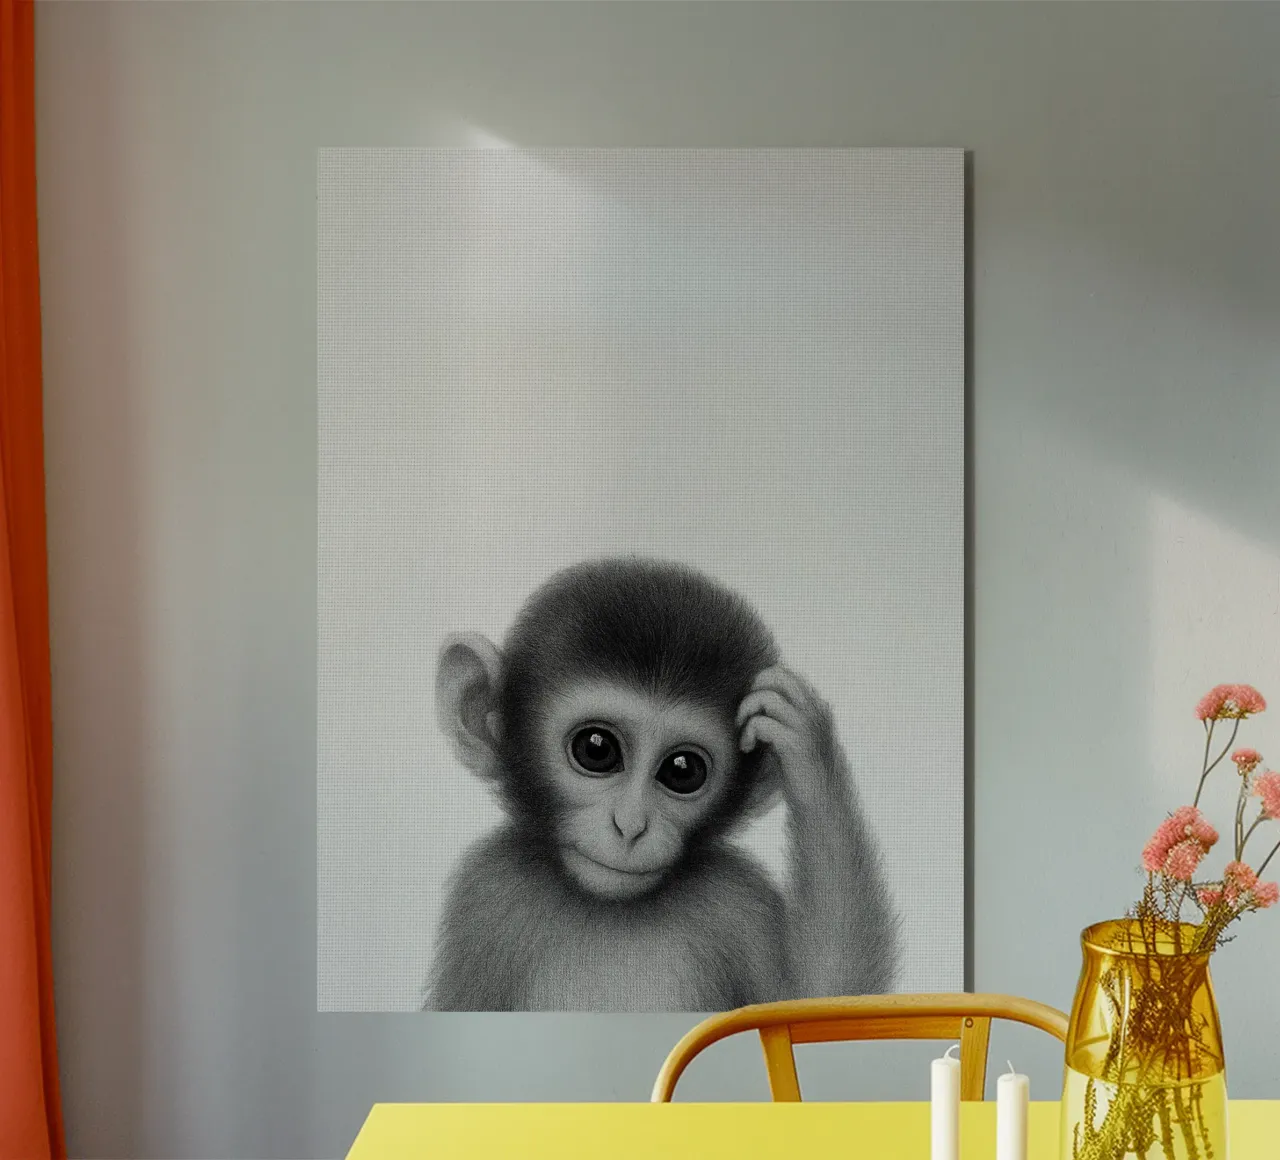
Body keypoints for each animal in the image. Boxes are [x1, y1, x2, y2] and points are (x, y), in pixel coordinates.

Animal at [427, 557, 900, 1011]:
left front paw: (806, 742)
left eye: (682, 770)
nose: (631, 825)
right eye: (596, 749)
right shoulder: (487, 893)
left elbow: (819, 994)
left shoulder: (737, 897)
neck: (610, 909)